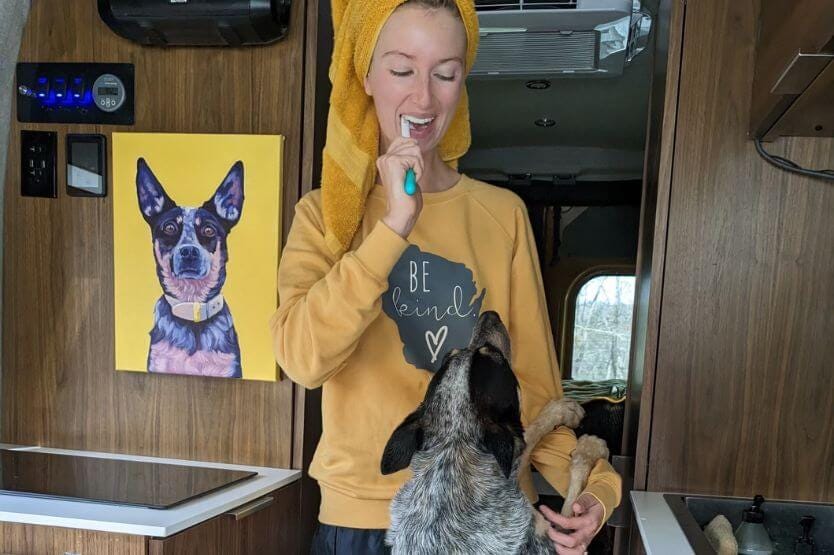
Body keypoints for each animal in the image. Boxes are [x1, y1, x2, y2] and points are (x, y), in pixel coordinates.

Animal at [380, 312, 608, 555]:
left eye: (448, 354)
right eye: (497, 357)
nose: (489, 314)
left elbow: (529, 437)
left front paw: (560, 412)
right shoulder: (560, 543)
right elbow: (572, 483)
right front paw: (589, 446)